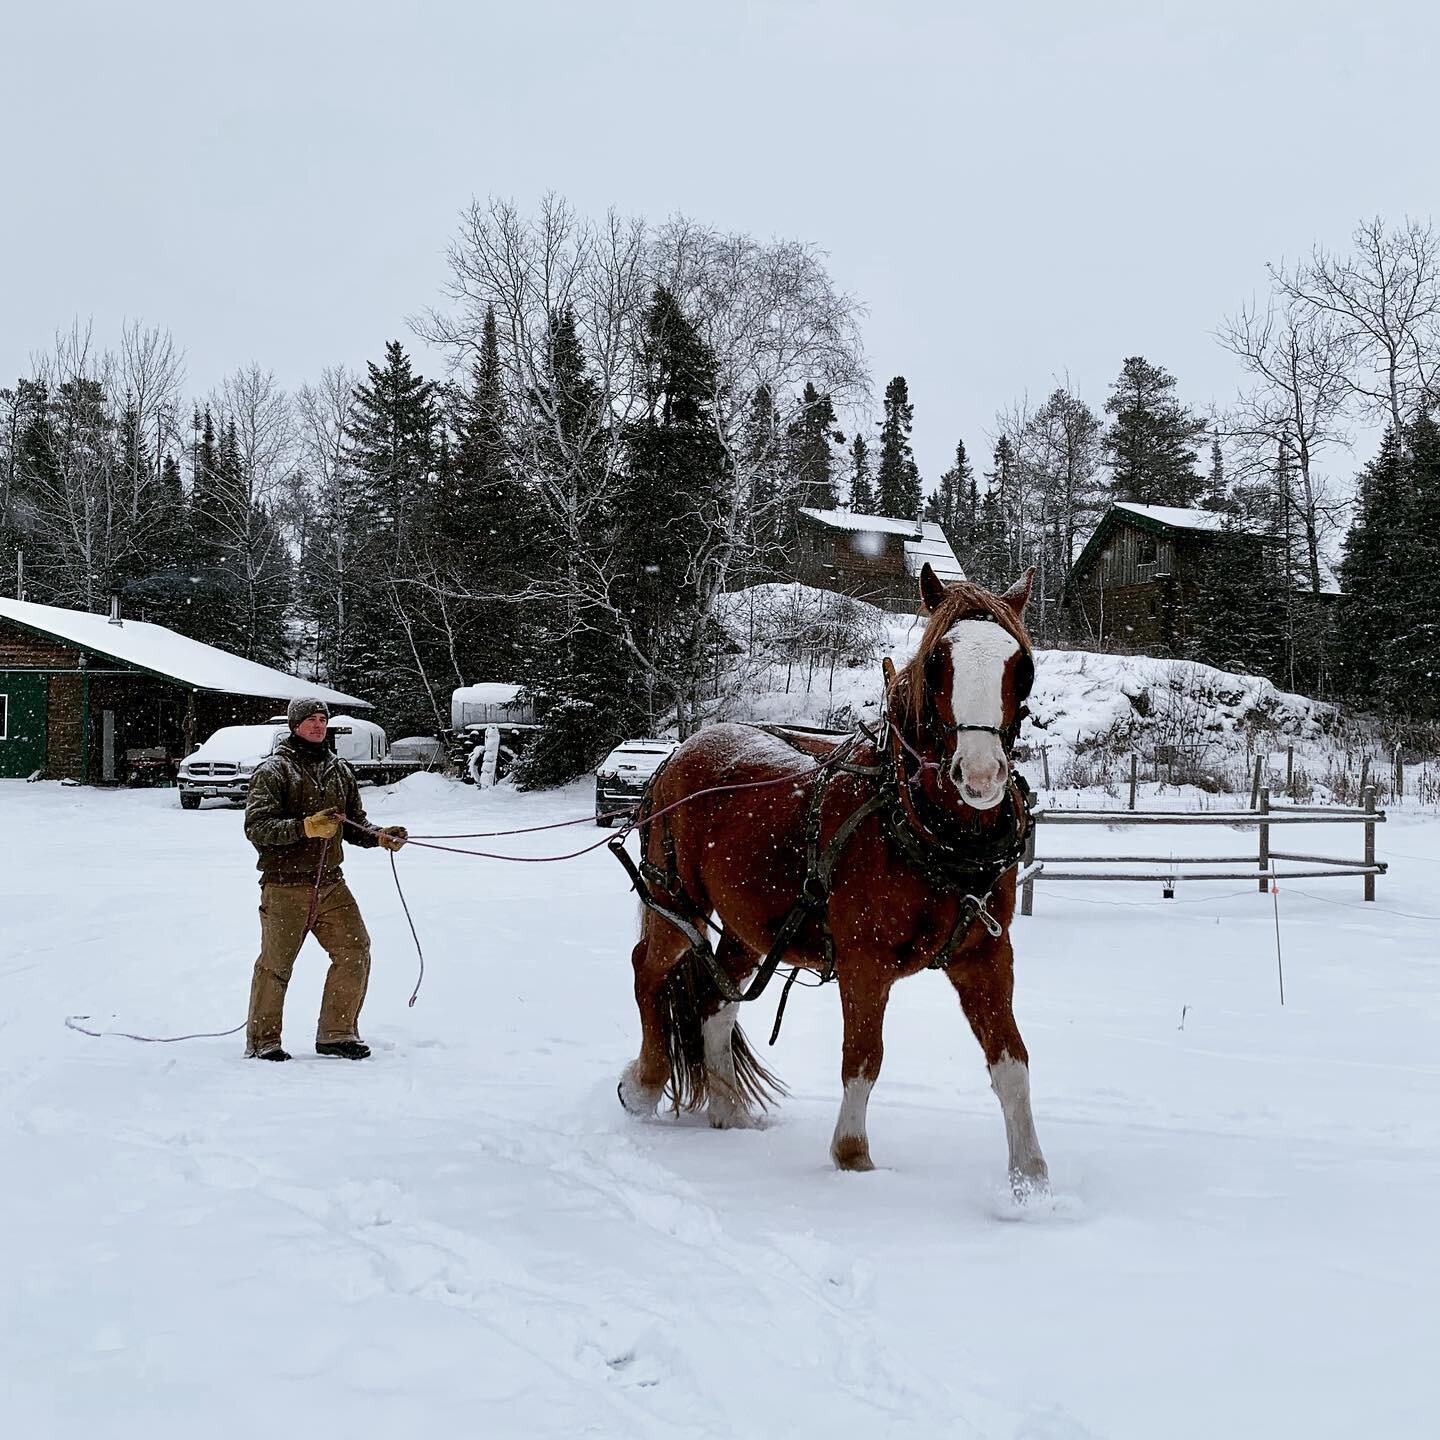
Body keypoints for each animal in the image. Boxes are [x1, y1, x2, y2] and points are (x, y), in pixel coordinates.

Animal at [616, 567, 1048, 1198]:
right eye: (937, 662)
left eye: (1021, 667)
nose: (981, 775)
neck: (923, 828)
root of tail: (679, 751)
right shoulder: (865, 959)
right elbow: (863, 1057)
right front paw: (853, 1159)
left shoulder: (987, 956)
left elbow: (1012, 1063)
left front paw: (1030, 1182)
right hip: (676, 902)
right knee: (648, 972)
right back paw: (645, 1085)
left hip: (749, 926)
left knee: (716, 1003)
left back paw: (729, 1109)